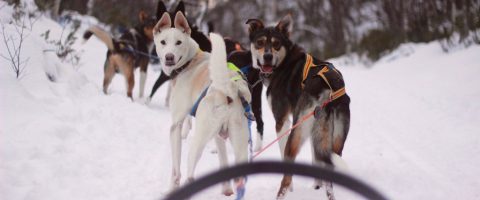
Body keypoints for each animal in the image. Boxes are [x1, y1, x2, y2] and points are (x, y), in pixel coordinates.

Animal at [154, 11, 251, 196]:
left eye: (178, 42)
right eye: (163, 42)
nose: (169, 57)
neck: (189, 62)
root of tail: (228, 90)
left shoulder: (175, 126)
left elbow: (175, 170)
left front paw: (172, 188)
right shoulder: (219, 137)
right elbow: (223, 160)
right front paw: (226, 189)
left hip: (197, 142)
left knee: (190, 174)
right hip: (239, 143)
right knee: (241, 182)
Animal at [231, 14, 350, 199]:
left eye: (276, 44)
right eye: (260, 42)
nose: (267, 56)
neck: (284, 63)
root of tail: (328, 90)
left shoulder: (282, 121)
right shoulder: (315, 134)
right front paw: (316, 186)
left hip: (297, 132)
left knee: (286, 178)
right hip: (335, 139)